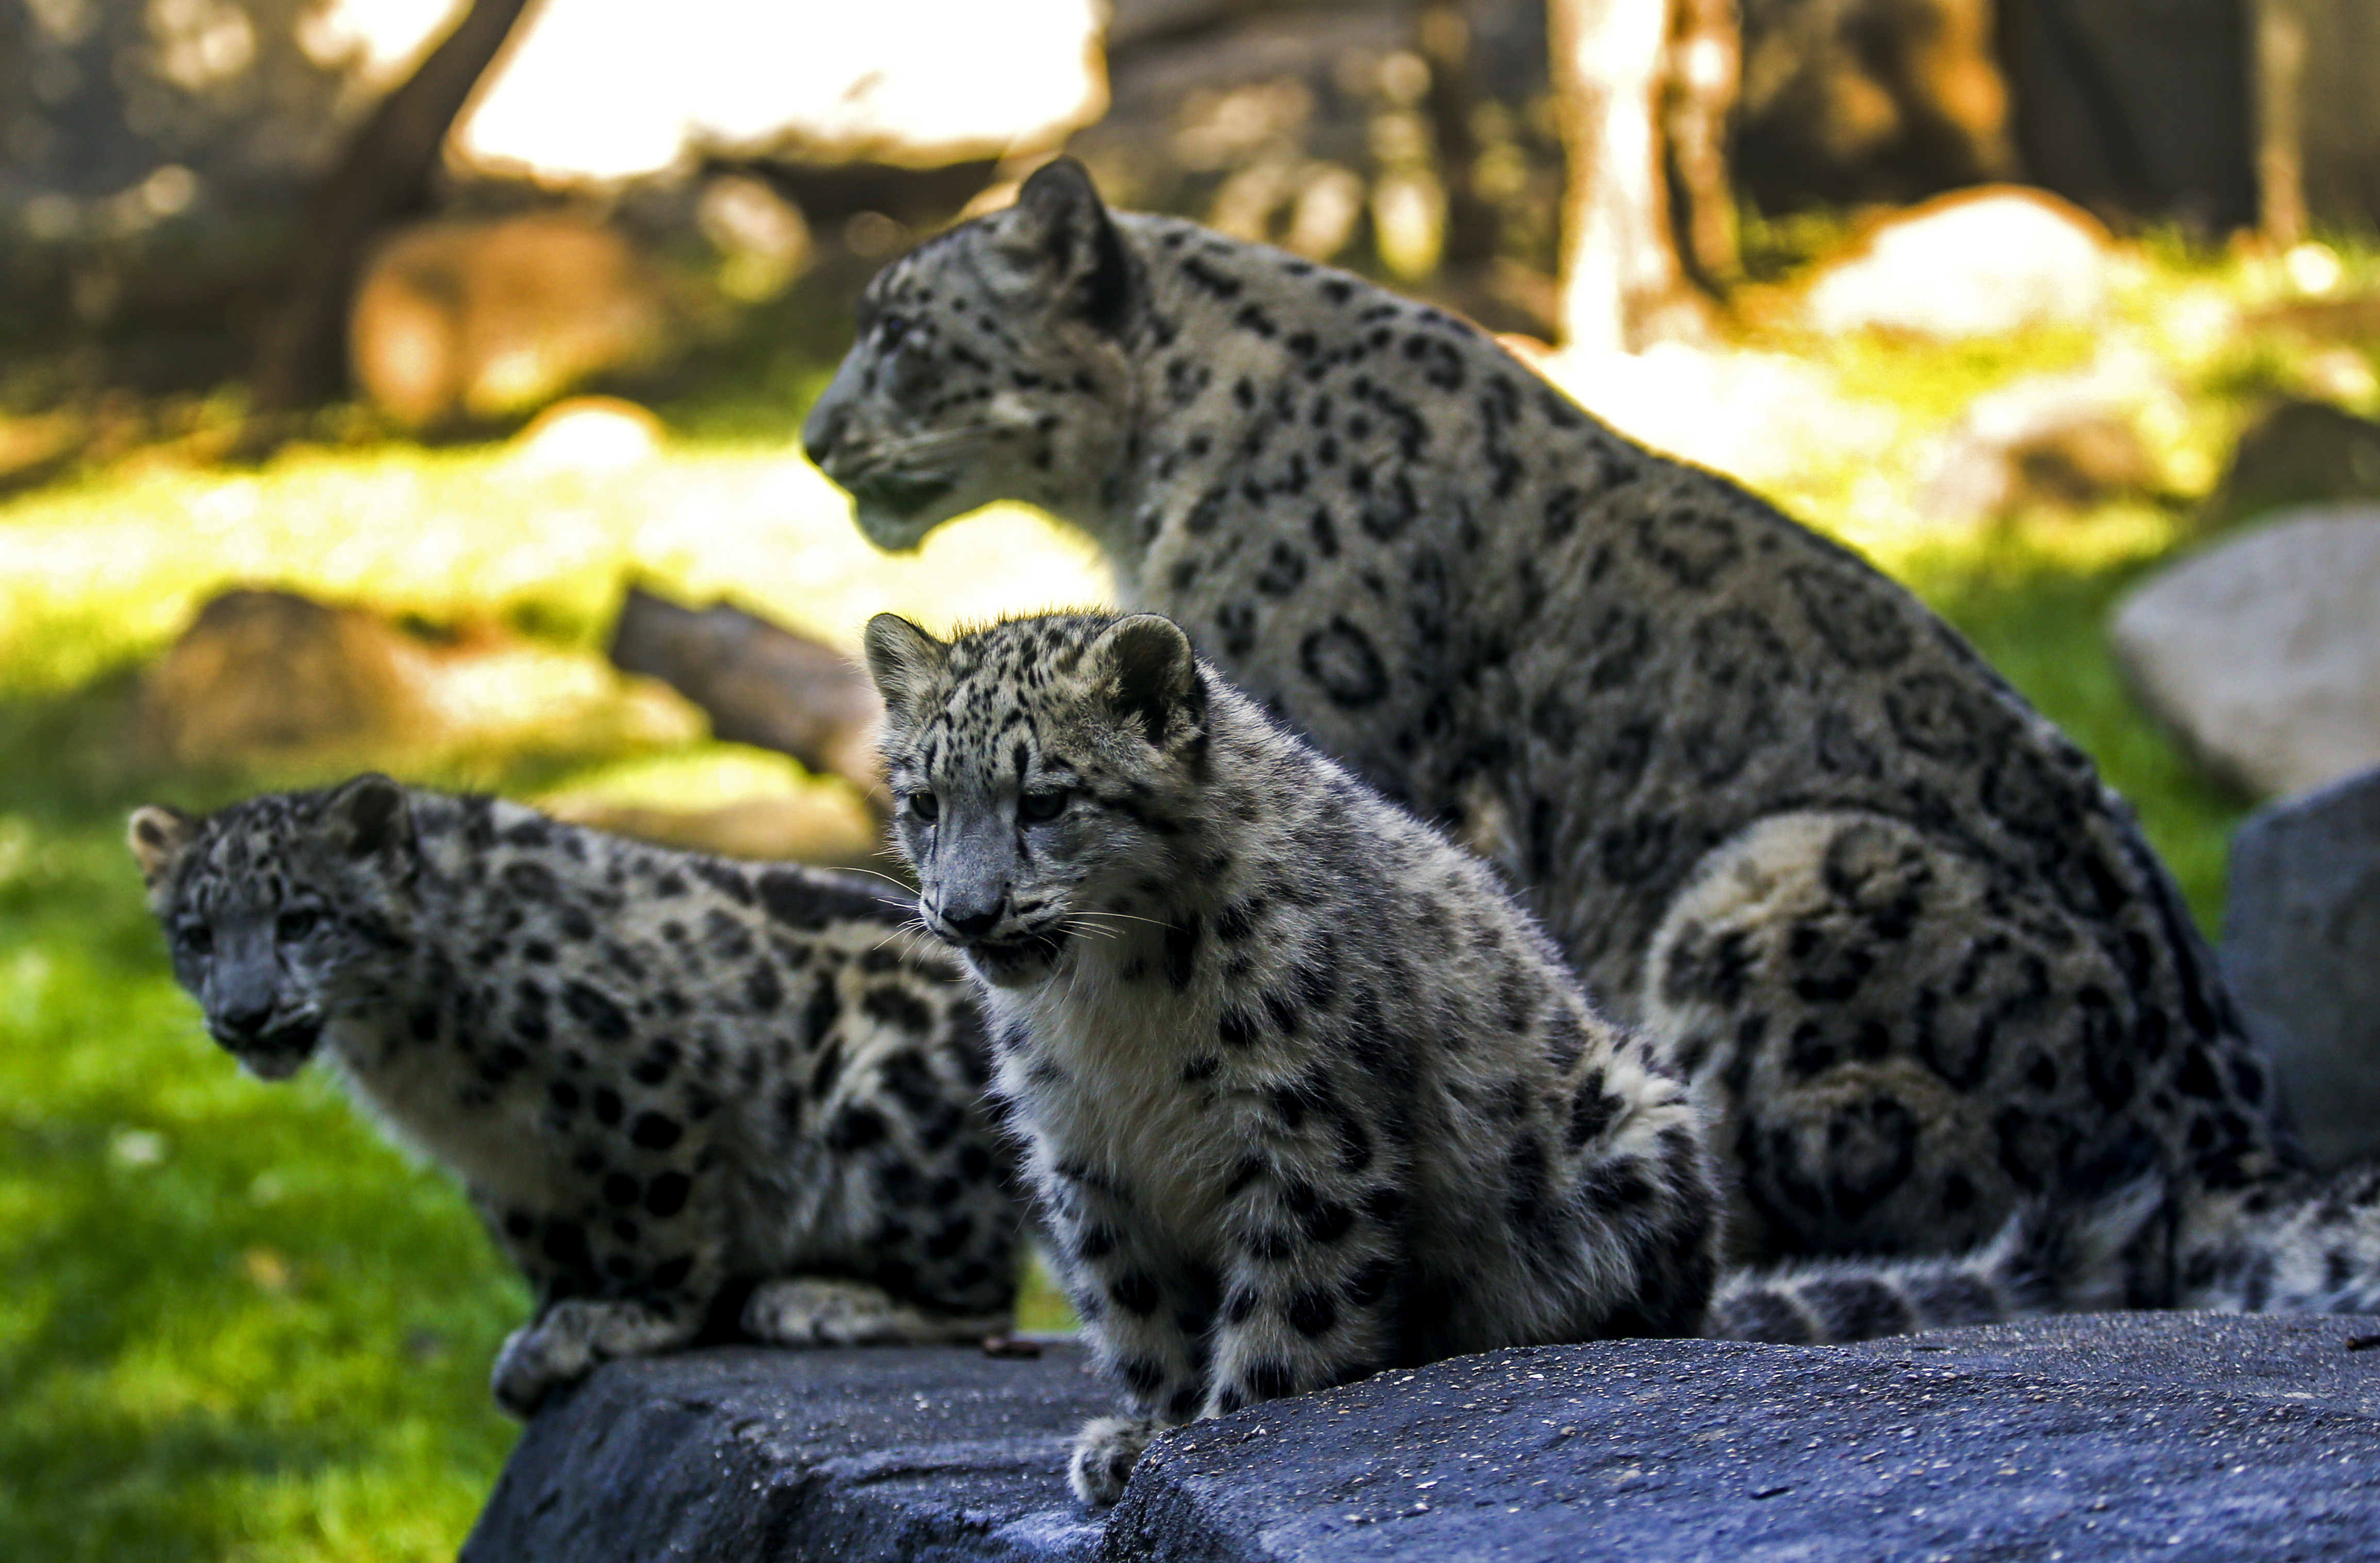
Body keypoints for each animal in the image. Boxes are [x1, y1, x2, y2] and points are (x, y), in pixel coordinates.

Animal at [128, 774, 1023, 1416]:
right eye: (196, 936)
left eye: (300, 921)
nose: (242, 1016)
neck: (412, 1059)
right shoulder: (501, 1162)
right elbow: (545, 1246)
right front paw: (541, 1333)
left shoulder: (639, 1082)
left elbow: (652, 1221)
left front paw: (623, 1319)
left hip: (893, 1116)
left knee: (987, 1299)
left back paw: (817, 1300)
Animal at [863, 609, 2143, 1505]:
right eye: (922, 801)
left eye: (1045, 798)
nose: (965, 911)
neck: (1111, 1007)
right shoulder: (1087, 1163)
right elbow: (1141, 1316)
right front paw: (1145, 1433)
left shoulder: (1311, 1133)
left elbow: (1287, 1316)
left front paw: (1220, 1429)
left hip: (1630, 1128)